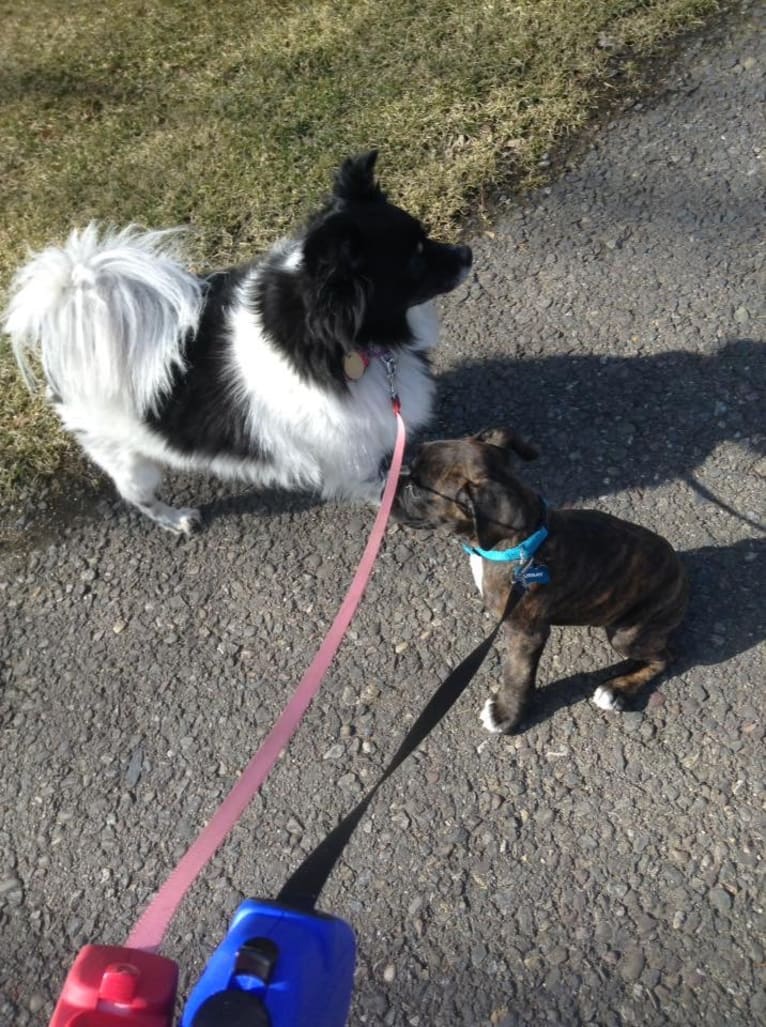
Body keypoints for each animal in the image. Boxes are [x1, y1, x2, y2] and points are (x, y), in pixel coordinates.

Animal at [4, 153, 472, 538]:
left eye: (426, 238)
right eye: (414, 259)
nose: (467, 253)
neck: (336, 339)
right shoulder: (348, 454)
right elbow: (377, 485)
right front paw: (402, 500)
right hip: (127, 459)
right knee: (138, 495)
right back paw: (177, 519)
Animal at [394, 429, 685, 735]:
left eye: (415, 490)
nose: (389, 482)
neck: (519, 544)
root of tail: (680, 574)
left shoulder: (526, 634)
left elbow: (516, 675)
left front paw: (505, 714)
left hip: (626, 634)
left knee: (665, 658)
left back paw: (617, 690)